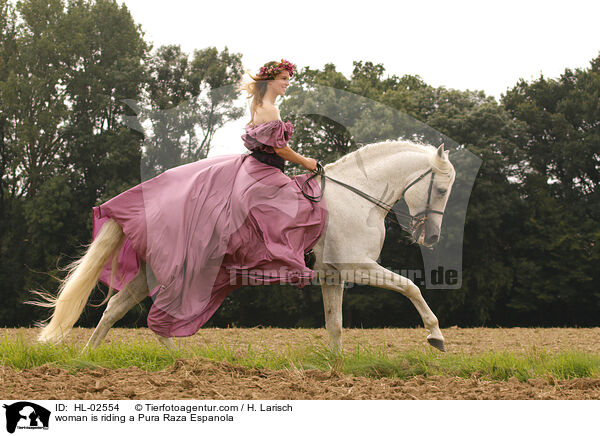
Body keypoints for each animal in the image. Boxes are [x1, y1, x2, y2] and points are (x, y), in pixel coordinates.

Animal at [32, 141, 454, 352]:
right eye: (442, 189)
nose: (432, 238)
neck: (358, 195)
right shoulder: (356, 265)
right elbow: (411, 287)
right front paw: (435, 336)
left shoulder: (333, 275)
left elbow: (334, 325)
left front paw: (336, 369)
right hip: (176, 272)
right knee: (146, 314)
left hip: (151, 272)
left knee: (119, 308)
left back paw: (98, 358)